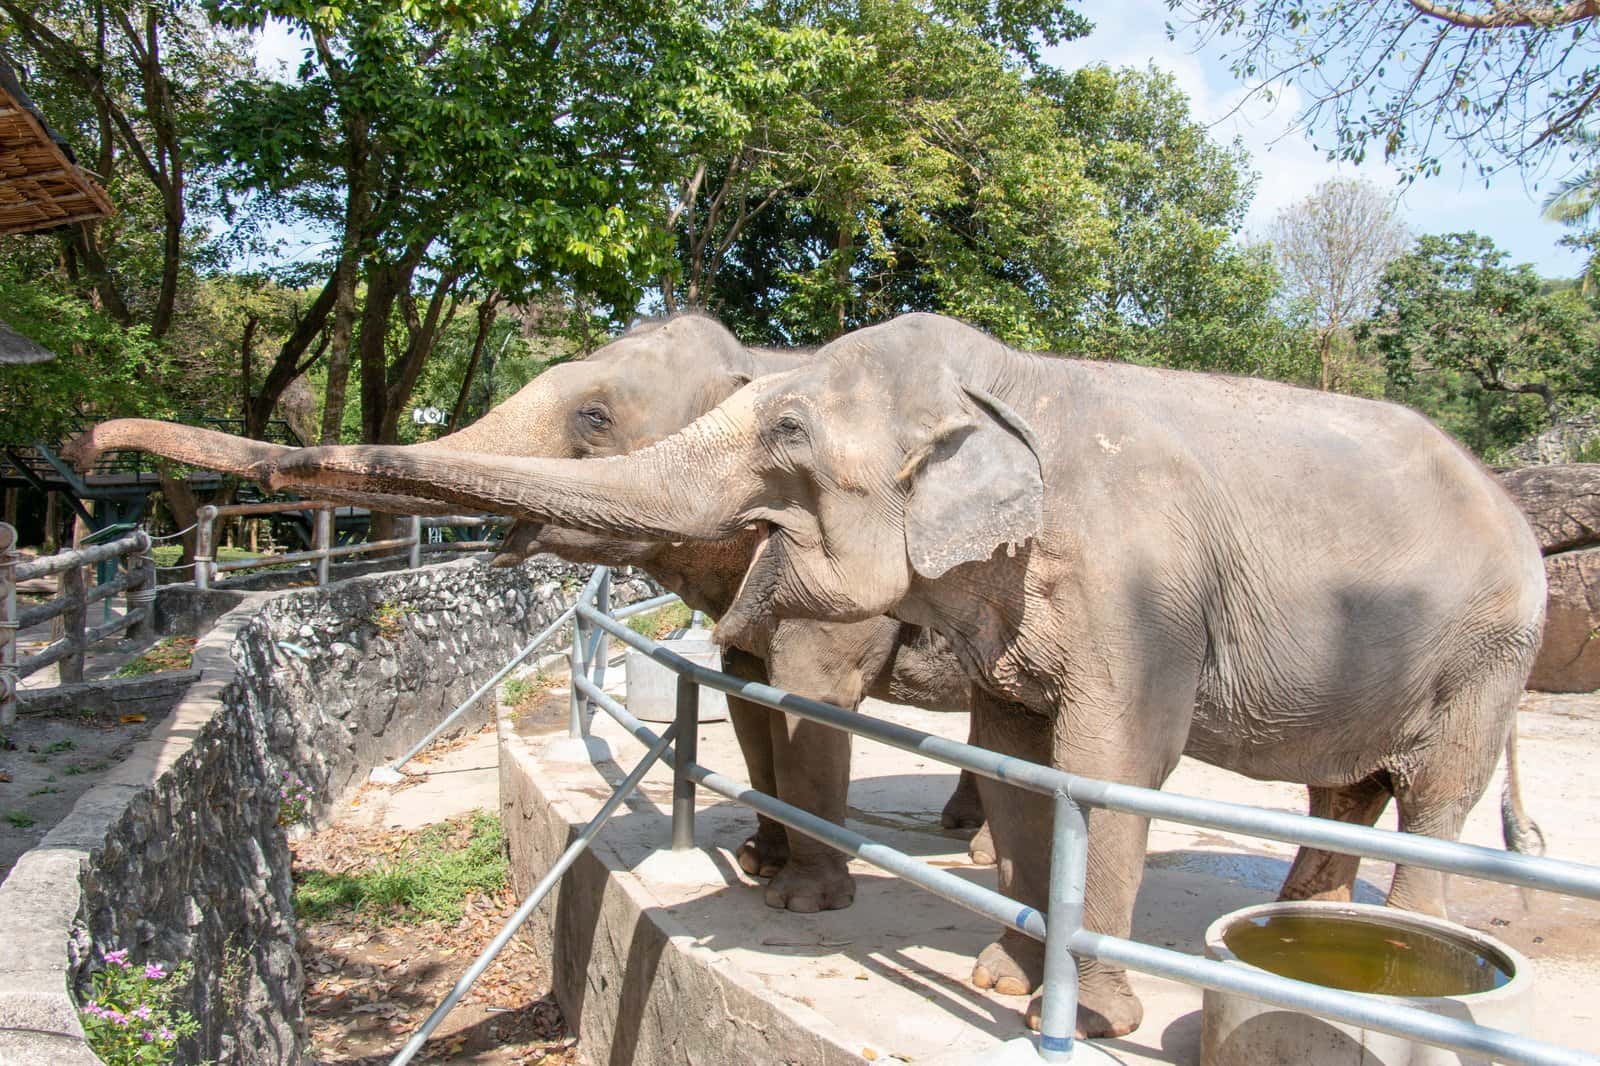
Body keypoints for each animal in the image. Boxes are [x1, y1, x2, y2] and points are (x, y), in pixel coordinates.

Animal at [64, 313, 986, 913]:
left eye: (595, 416)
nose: (83, 442)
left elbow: (812, 697)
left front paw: (802, 902)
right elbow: (748, 695)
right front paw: (759, 862)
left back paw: (972, 851)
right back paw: (965, 830)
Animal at [253, 311, 1548, 1039]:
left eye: (594, 417)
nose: (253, 473)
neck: (1023, 387)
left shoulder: (1142, 590)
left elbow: (1101, 764)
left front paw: (1067, 1008)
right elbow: (993, 748)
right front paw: (980, 957)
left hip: (1493, 649)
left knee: (1435, 793)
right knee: (1348, 787)